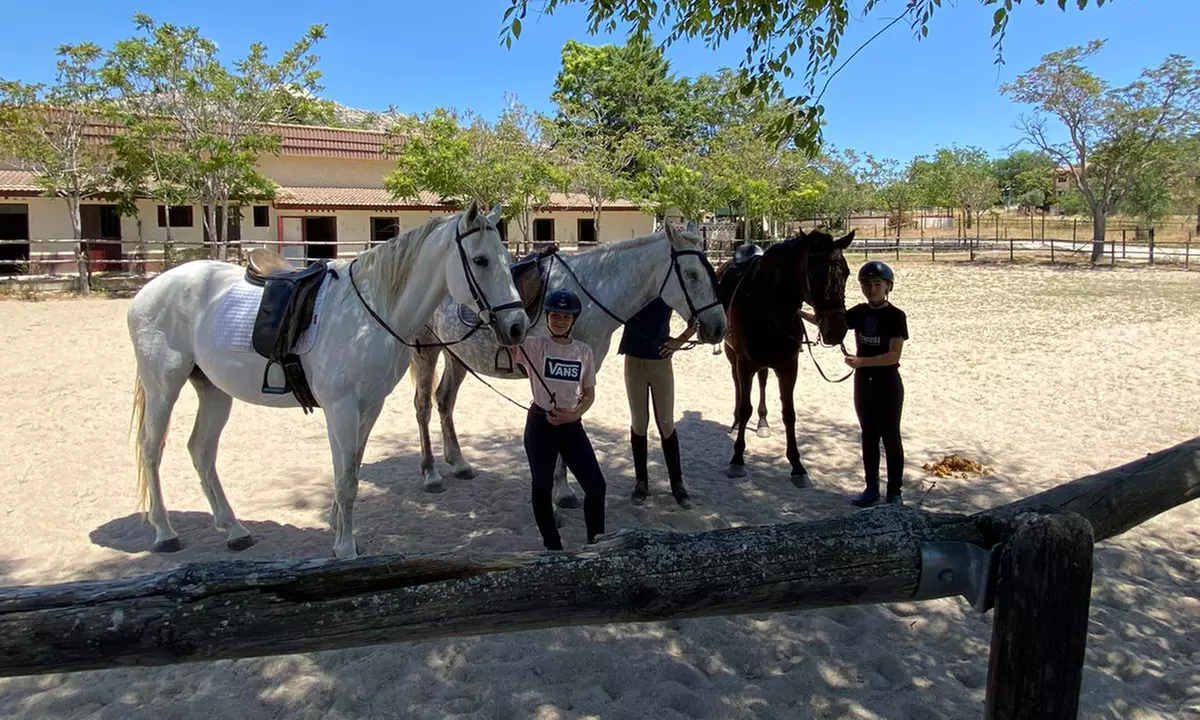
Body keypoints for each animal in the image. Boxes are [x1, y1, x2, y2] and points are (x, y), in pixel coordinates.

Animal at [127, 201, 530, 559]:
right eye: (480, 260)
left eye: (505, 257)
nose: (517, 326)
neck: (372, 312)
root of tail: (151, 289)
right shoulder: (341, 407)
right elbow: (347, 477)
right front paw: (346, 547)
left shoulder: (369, 406)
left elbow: (350, 468)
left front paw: (338, 527)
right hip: (163, 388)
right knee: (151, 449)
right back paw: (164, 532)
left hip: (213, 390)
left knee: (201, 451)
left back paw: (234, 531)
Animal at [410, 223, 727, 506]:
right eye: (691, 274)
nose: (718, 327)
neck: (586, 296)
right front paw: (563, 492)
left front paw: (563, 490)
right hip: (426, 351)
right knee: (423, 406)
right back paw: (431, 474)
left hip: (456, 356)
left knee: (444, 400)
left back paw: (459, 463)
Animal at [717, 228, 854, 484]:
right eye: (813, 274)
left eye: (846, 272)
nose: (836, 330)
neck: (770, 306)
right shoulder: (745, 364)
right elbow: (745, 408)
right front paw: (737, 459)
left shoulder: (789, 366)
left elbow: (789, 413)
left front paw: (797, 466)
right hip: (733, 356)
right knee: (737, 385)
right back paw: (736, 421)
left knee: (762, 381)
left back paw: (763, 422)